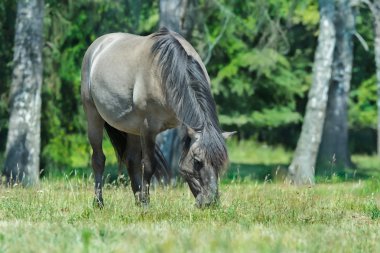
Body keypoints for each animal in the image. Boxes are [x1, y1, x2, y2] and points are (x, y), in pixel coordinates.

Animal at [81, 27, 233, 208]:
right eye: (197, 161)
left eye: (220, 163)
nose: (210, 202)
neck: (164, 73)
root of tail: (97, 45)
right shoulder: (148, 128)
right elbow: (148, 165)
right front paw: (147, 203)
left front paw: (143, 201)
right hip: (93, 116)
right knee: (98, 159)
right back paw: (99, 202)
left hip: (131, 127)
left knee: (131, 160)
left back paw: (137, 200)